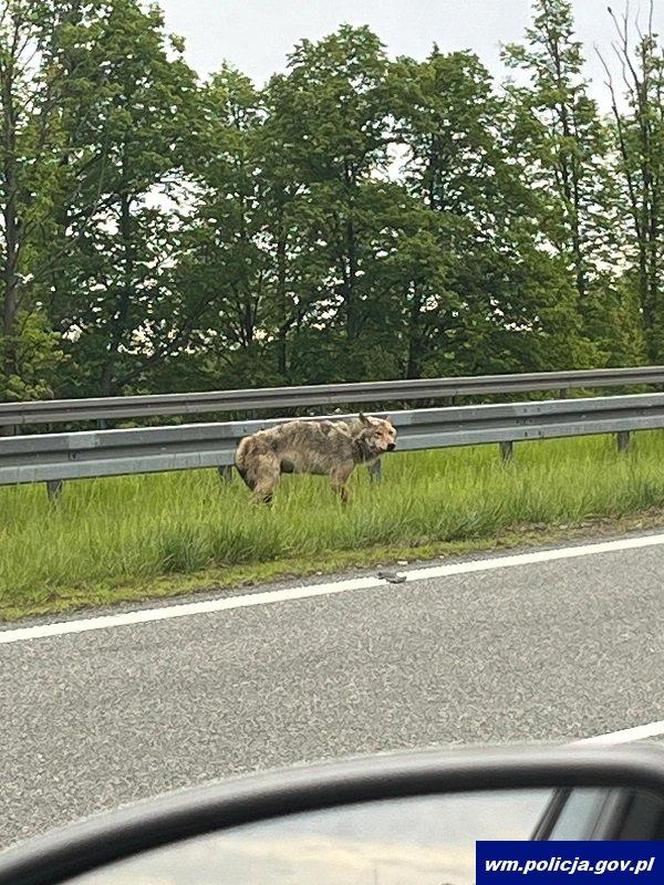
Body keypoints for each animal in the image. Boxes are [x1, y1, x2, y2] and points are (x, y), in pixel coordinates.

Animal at [236, 410, 396, 500]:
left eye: (391, 432)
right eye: (378, 433)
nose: (392, 445)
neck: (352, 438)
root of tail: (245, 442)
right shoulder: (336, 481)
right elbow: (347, 500)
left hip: (269, 487)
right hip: (268, 485)